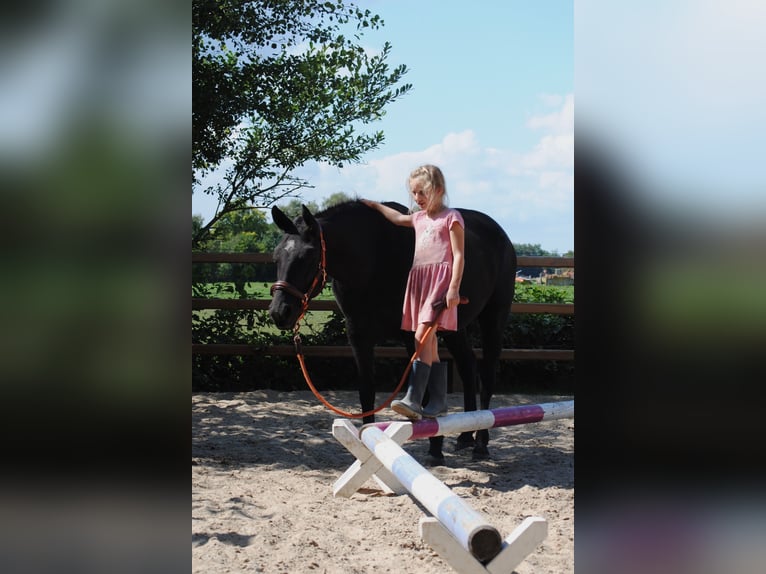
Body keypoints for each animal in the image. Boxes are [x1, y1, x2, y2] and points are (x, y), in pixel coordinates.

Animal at [269, 200, 517, 463]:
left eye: (307, 255)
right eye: (276, 256)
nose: (280, 312)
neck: (374, 260)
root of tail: (501, 235)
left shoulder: (412, 335)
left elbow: (422, 388)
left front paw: (435, 449)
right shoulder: (358, 336)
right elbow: (367, 390)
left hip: (493, 317)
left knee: (486, 374)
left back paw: (480, 443)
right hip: (454, 328)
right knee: (468, 366)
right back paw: (465, 436)